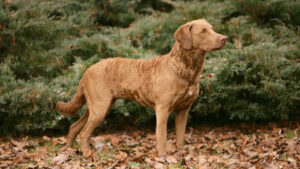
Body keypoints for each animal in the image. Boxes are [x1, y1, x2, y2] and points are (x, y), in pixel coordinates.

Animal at [56, 19, 226, 158]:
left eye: (212, 29)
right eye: (203, 31)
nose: (224, 38)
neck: (185, 70)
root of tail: (87, 70)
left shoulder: (183, 110)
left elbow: (180, 136)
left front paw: (181, 152)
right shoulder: (162, 109)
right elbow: (162, 136)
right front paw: (163, 156)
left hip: (97, 106)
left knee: (74, 126)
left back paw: (69, 151)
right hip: (100, 107)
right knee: (83, 132)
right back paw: (86, 153)